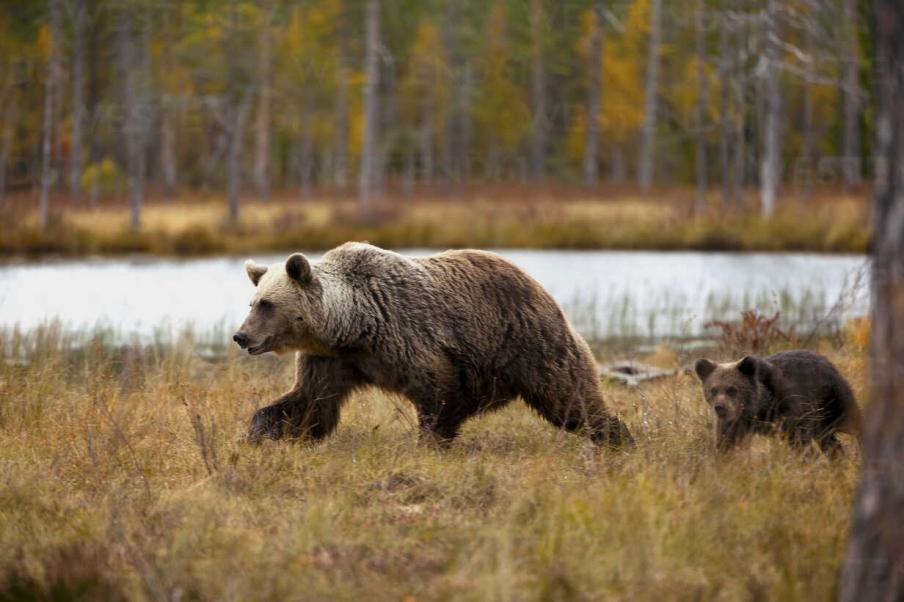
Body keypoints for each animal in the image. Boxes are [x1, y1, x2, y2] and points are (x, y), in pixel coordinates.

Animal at [230, 243, 632, 446]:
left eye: (267, 304)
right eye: (252, 302)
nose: (241, 336)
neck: (352, 327)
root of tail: (538, 286)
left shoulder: (409, 336)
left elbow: (438, 396)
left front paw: (432, 443)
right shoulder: (331, 360)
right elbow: (310, 404)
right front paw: (257, 433)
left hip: (528, 342)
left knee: (569, 398)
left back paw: (617, 437)